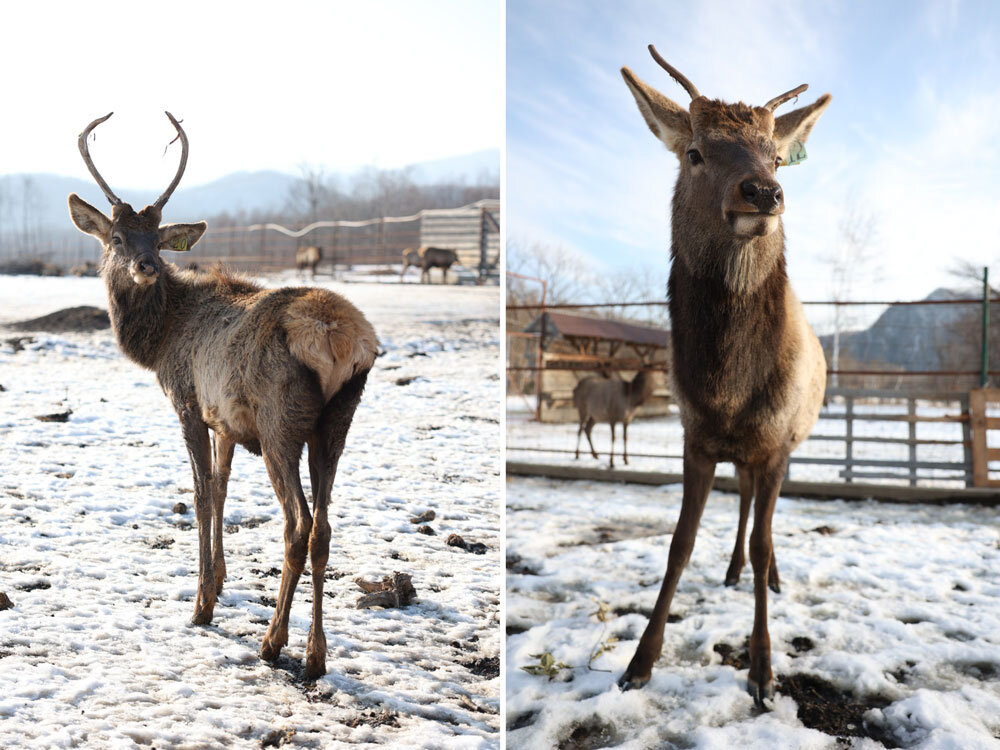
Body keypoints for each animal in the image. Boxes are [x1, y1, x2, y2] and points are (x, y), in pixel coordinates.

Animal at [66, 111, 378, 680]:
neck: (160, 340)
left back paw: (273, 641)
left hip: (281, 424)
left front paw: (202, 603)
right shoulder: (226, 422)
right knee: (323, 527)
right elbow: (223, 486)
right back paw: (316, 654)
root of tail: (341, 339)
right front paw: (220, 579)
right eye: (118, 236)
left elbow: (200, 492)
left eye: (158, 240)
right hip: (336, 425)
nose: (145, 266)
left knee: (297, 523)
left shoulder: (188, 401)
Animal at [612, 45, 832, 704]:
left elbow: (763, 540)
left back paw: (770, 575)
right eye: (695, 152)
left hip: (786, 445)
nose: (763, 191)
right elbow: (679, 543)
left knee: (765, 519)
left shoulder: (775, 443)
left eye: (777, 154)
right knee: (745, 506)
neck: (728, 391)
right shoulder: (697, 436)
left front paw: (762, 668)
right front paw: (639, 662)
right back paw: (731, 569)